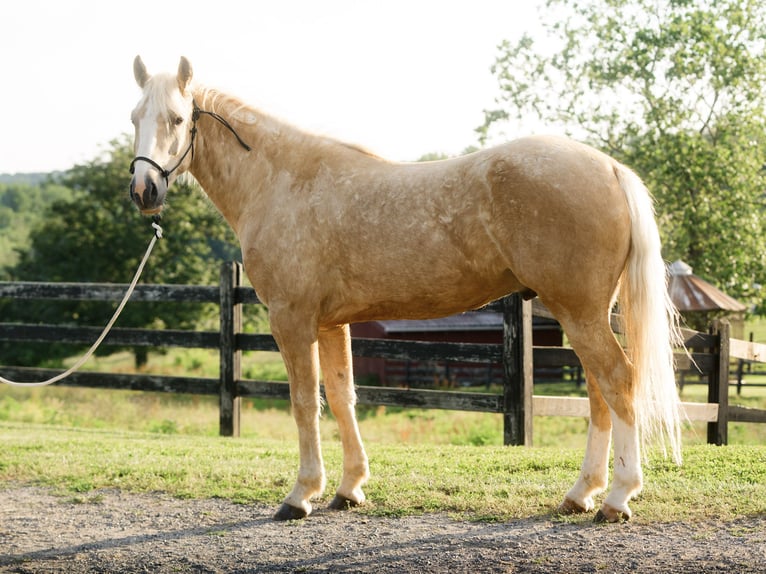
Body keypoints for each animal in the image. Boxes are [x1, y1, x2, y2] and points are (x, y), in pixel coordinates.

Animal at [129, 56, 682, 523]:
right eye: (134, 116)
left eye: (176, 118)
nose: (143, 191)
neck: (282, 181)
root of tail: (609, 167)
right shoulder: (331, 323)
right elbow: (343, 397)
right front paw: (349, 488)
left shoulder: (292, 319)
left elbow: (305, 402)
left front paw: (301, 494)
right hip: (582, 313)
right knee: (597, 392)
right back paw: (581, 493)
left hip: (580, 312)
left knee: (618, 381)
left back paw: (617, 497)